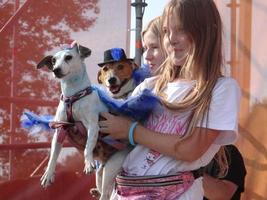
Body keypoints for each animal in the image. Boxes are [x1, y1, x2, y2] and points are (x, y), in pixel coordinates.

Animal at [37, 41, 130, 198]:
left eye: (68, 57)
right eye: (54, 61)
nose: (55, 70)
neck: (73, 96)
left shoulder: (92, 126)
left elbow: (88, 147)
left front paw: (87, 163)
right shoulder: (60, 128)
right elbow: (53, 154)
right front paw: (48, 174)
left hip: (111, 168)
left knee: (106, 194)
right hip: (100, 174)